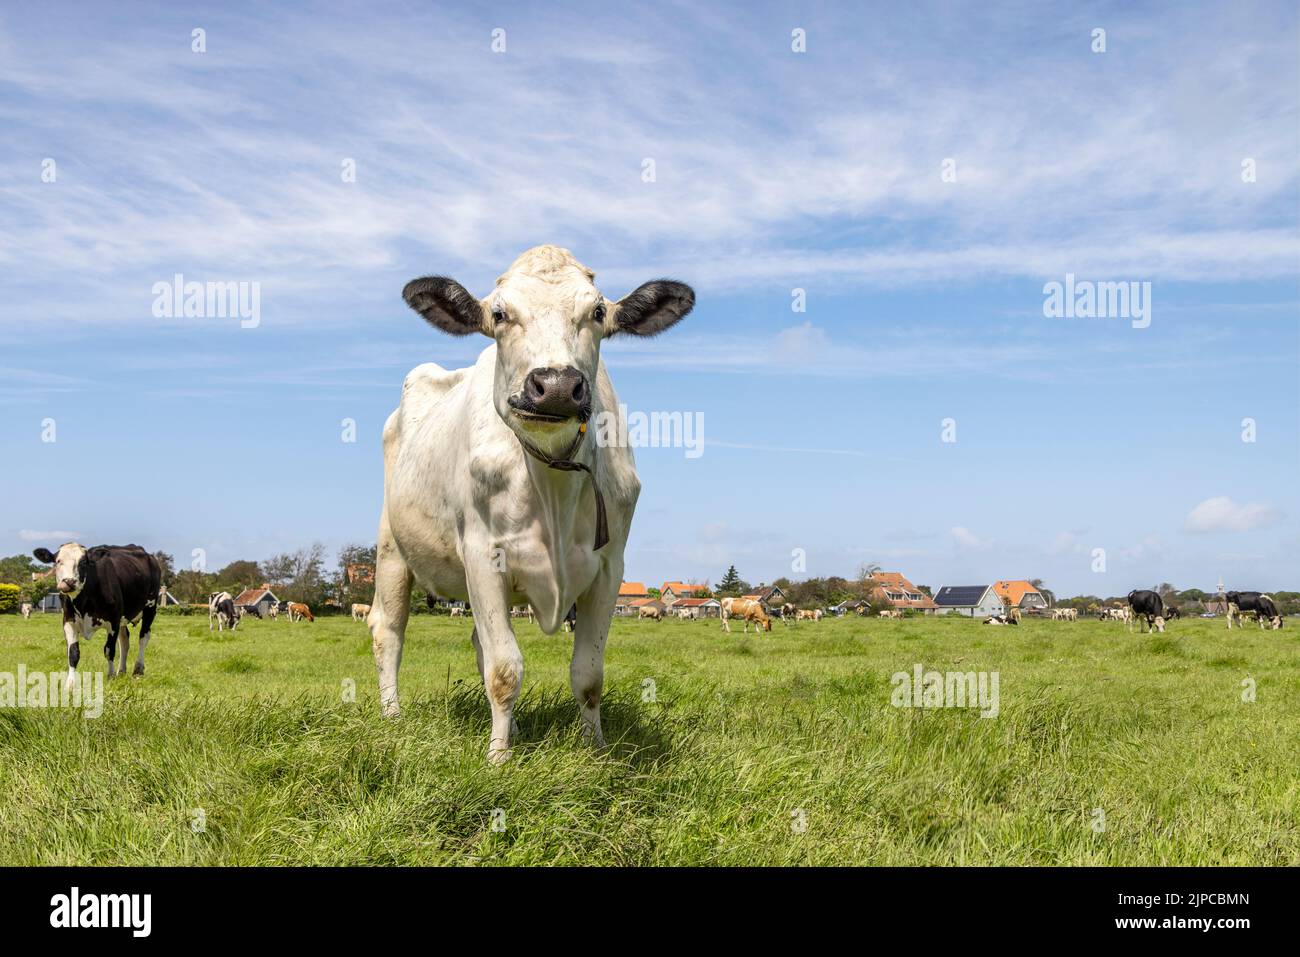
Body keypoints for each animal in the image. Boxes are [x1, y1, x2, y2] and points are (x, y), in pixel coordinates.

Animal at [33, 538, 161, 686]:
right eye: (58, 561)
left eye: (83, 562)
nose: (69, 582)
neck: (82, 603)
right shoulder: (68, 621)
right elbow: (73, 653)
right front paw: (70, 684)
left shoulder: (113, 621)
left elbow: (109, 650)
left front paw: (110, 676)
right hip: (123, 618)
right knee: (124, 641)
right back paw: (121, 671)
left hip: (150, 608)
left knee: (143, 637)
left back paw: (138, 671)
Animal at [369, 244, 702, 764]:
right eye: (500, 314)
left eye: (598, 312)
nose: (557, 384)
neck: (553, 486)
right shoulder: (482, 556)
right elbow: (505, 670)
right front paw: (498, 760)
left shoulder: (609, 567)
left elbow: (588, 674)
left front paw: (594, 751)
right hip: (391, 548)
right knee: (388, 630)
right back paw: (393, 716)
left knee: (477, 642)